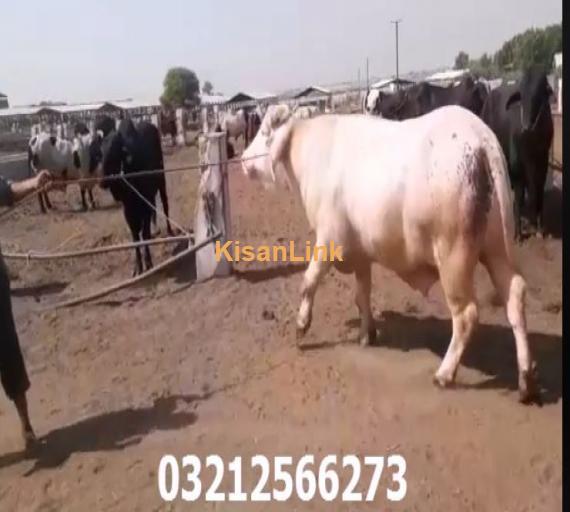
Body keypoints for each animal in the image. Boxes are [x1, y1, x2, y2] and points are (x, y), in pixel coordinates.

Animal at [91, 118, 173, 276]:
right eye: (101, 153)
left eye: (114, 153)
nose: (102, 181)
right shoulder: (128, 211)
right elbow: (135, 237)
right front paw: (138, 266)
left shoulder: (144, 206)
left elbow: (144, 234)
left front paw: (148, 262)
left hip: (161, 182)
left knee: (165, 206)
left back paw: (171, 231)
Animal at [480, 67, 552, 240]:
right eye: (522, 95)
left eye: (539, 94)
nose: (526, 126)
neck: (531, 139)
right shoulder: (517, 168)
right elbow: (518, 198)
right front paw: (518, 233)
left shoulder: (543, 163)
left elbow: (538, 194)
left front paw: (539, 227)